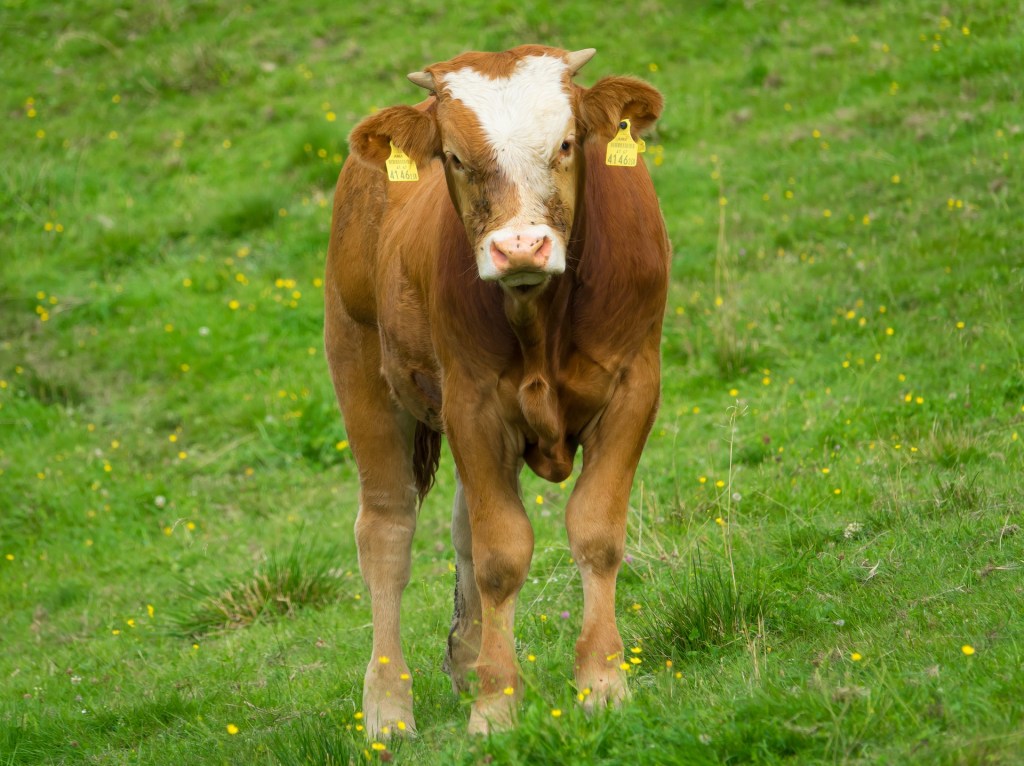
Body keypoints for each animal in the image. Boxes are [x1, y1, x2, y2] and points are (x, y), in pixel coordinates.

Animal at [323, 43, 667, 737]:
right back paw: (387, 709)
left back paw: (466, 656)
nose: (519, 246)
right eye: (455, 157)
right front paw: (497, 706)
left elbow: (595, 534)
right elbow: (502, 555)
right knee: (387, 532)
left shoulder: (634, 388)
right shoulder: (473, 405)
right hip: (360, 368)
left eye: (566, 144)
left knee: (459, 527)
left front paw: (602, 683)